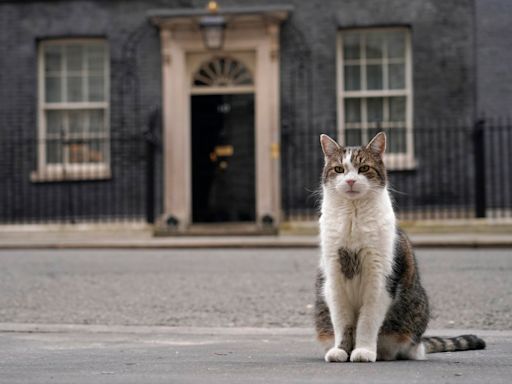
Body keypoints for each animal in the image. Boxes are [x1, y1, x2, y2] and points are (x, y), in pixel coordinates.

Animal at [314, 133, 486, 364]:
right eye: (339, 169)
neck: (353, 215)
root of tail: (420, 343)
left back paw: (383, 352)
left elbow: (367, 321)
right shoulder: (334, 278)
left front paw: (364, 350)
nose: (350, 181)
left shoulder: (380, 278)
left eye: (364, 168)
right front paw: (341, 350)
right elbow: (343, 322)